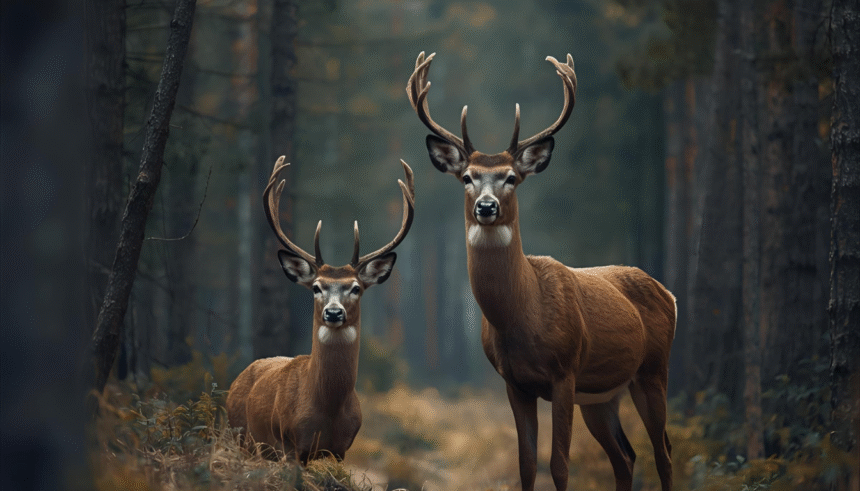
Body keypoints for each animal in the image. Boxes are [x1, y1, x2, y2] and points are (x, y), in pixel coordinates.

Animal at [226, 156, 415, 463]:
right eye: (316, 287)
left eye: (356, 288)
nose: (334, 313)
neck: (328, 410)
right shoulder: (291, 445)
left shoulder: (341, 450)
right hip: (242, 439)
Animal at [406, 52, 676, 491]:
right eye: (466, 177)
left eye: (512, 177)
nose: (486, 206)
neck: (521, 314)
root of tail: (667, 292)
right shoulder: (514, 383)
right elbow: (527, 464)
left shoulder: (565, 372)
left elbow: (559, 464)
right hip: (602, 395)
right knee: (626, 457)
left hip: (653, 369)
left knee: (664, 453)